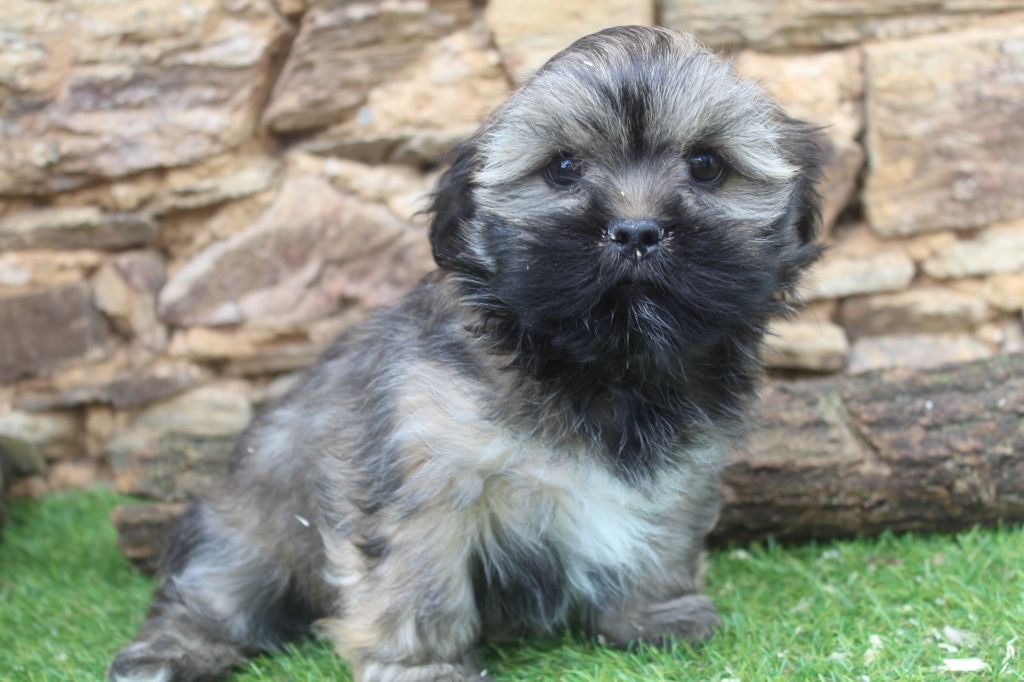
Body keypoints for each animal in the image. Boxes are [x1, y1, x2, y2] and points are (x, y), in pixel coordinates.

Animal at [108, 25, 819, 679]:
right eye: (563, 168)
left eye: (707, 165)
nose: (637, 231)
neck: (598, 367)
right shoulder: (421, 473)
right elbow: (417, 578)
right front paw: (422, 666)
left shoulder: (678, 475)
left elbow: (661, 538)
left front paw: (654, 614)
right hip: (241, 533)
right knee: (208, 597)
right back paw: (171, 652)